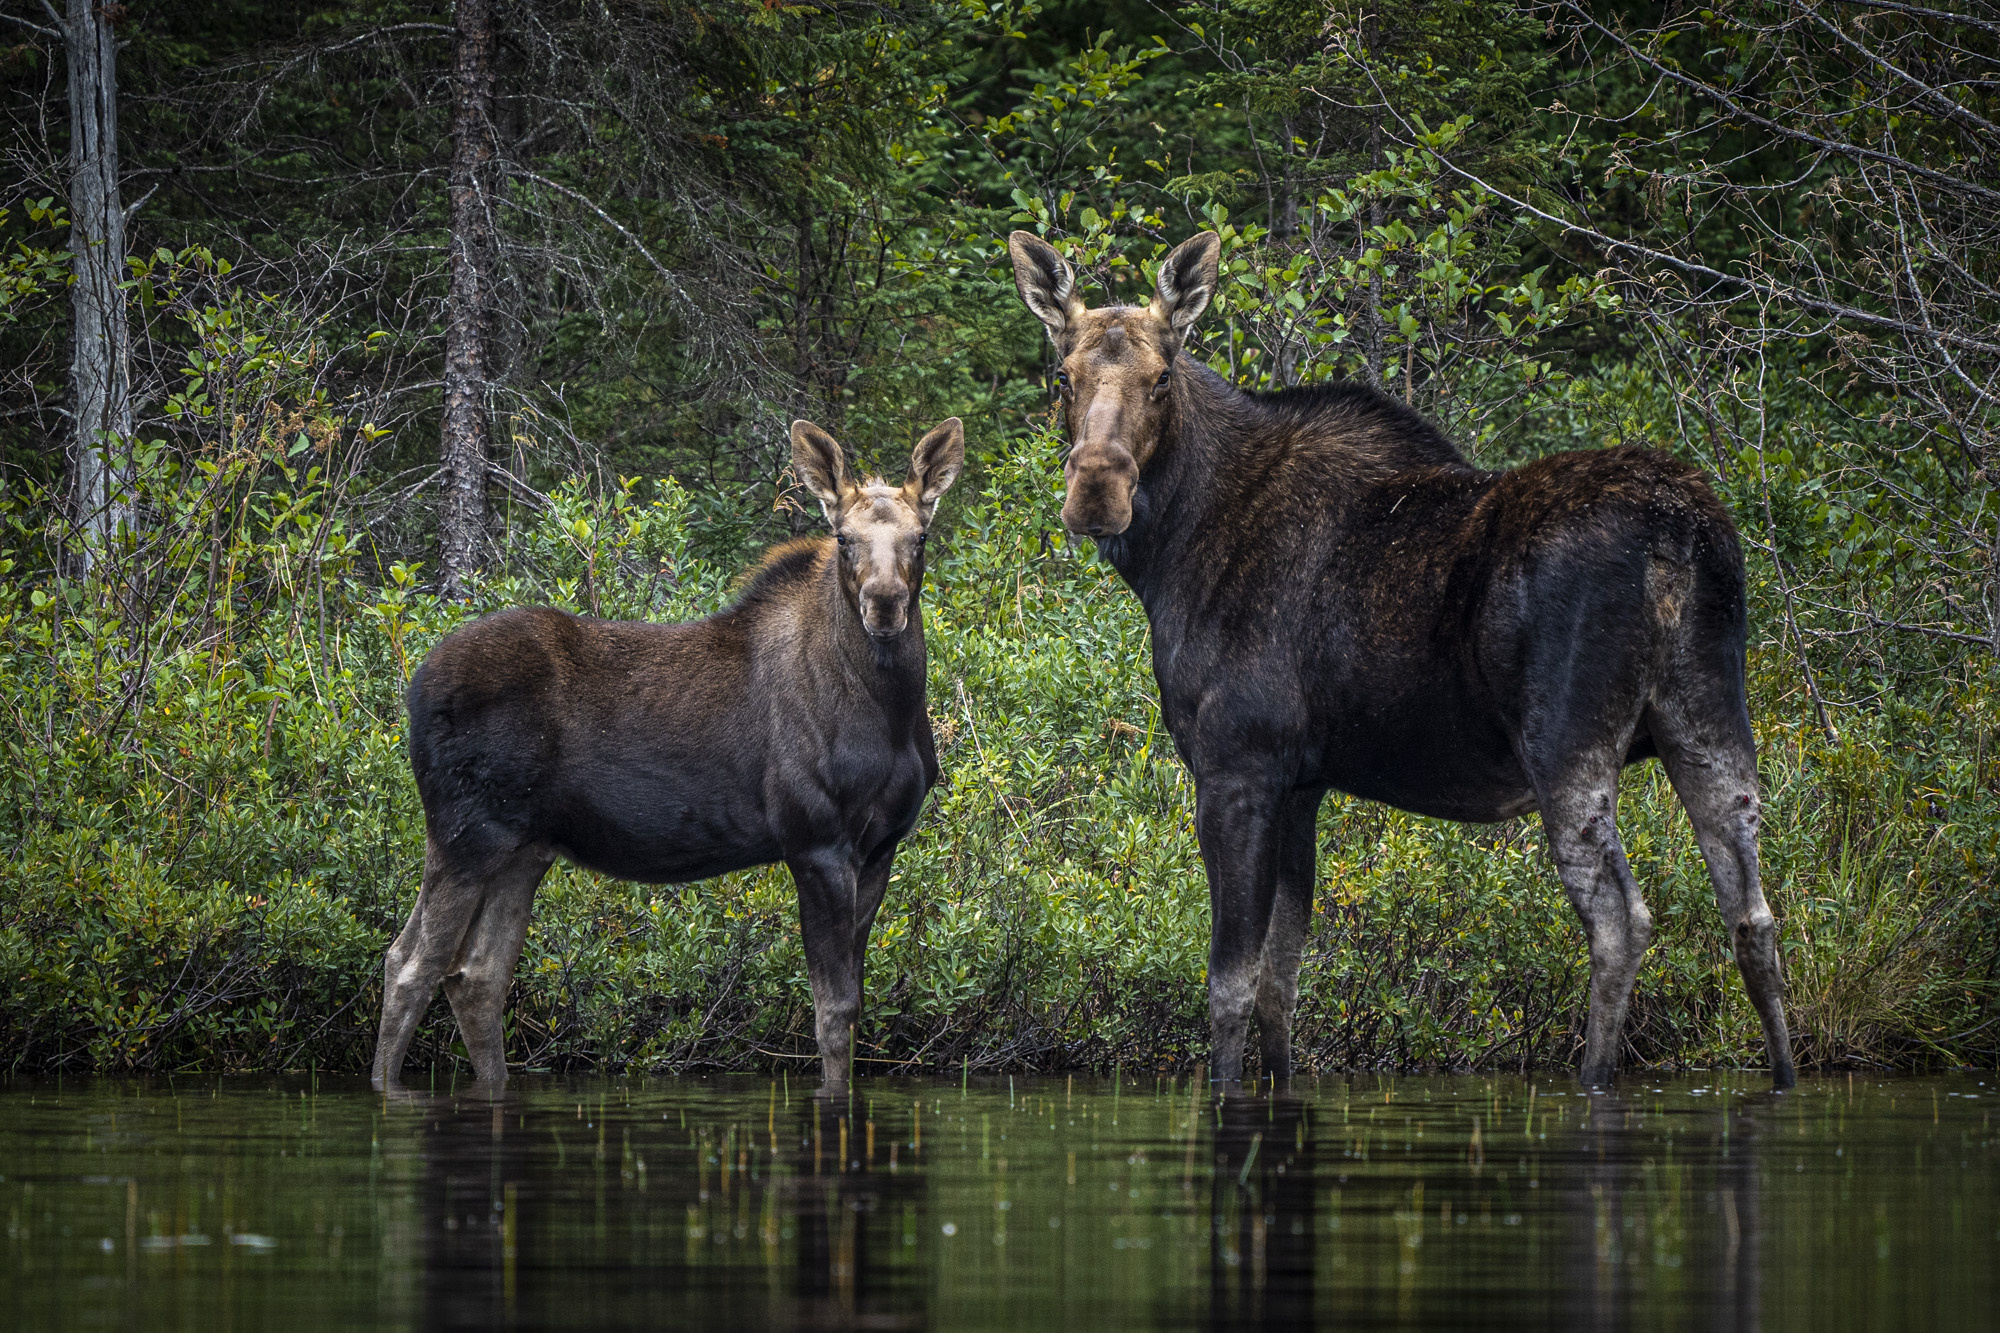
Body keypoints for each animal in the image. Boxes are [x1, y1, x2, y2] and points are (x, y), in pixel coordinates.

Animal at [378, 418, 972, 1088]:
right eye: (843, 538)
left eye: (921, 536)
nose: (885, 604)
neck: (890, 716)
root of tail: (413, 689)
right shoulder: (814, 841)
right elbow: (834, 1010)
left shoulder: (881, 846)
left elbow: (852, 1005)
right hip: (466, 833)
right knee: (409, 964)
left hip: (523, 848)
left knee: (477, 975)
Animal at [1016, 228, 1800, 1088]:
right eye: (1062, 375)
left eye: (1161, 376)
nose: (1096, 491)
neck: (1171, 553)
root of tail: (1681, 531)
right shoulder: (1303, 783)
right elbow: (1281, 984)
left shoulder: (1236, 768)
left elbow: (1230, 983)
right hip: (1710, 718)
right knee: (1754, 914)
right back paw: (1785, 1077)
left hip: (1569, 744)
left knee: (1620, 920)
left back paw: (1594, 1078)